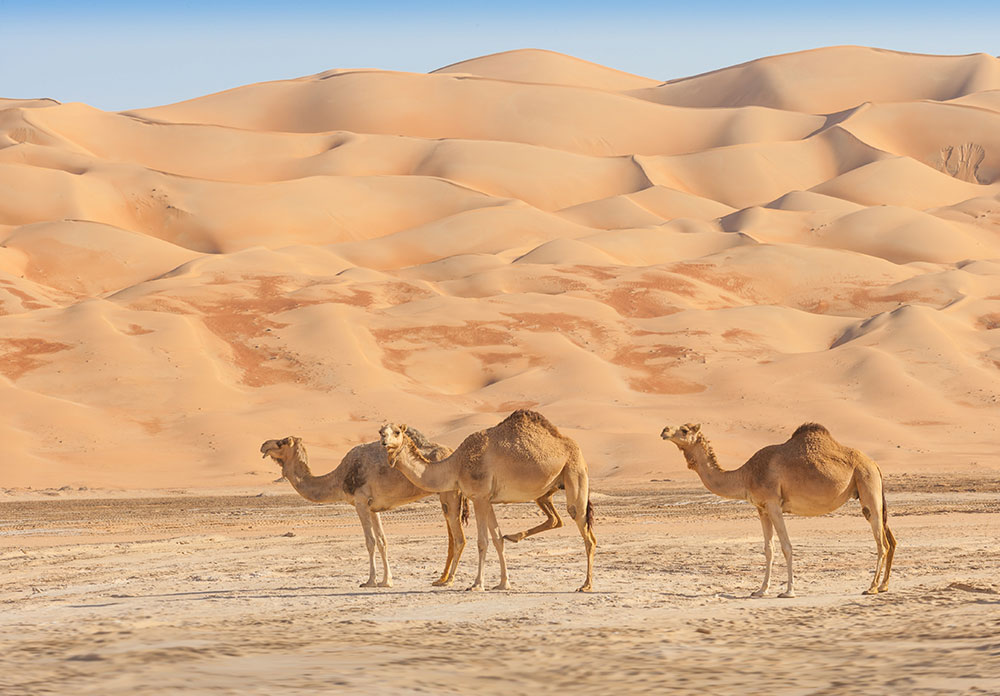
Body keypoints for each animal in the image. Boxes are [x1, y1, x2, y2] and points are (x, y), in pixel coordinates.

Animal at [262, 436, 472, 588]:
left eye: (281, 442)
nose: (263, 445)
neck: (339, 477)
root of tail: (453, 453)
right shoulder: (373, 507)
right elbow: (382, 541)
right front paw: (386, 581)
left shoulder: (360, 502)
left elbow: (370, 542)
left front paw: (370, 581)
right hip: (445, 496)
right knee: (452, 537)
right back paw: (441, 578)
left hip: (450, 493)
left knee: (459, 538)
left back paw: (449, 580)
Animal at [376, 410, 592, 596]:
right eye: (380, 431)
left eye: (396, 432)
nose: (384, 442)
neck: (456, 465)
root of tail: (577, 450)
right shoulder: (487, 499)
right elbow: (497, 539)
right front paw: (504, 583)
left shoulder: (479, 497)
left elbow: (482, 541)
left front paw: (477, 584)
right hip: (548, 490)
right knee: (558, 519)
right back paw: (515, 537)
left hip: (574, 473)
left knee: (585, 531)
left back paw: (586, 585)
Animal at [664, 422, 900, 596]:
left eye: (684, 430)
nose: (664, 431)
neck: (746, 474)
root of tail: (875, 464)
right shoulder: (761, 509)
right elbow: (769, 549)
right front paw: (760, 590)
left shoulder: (774, 504)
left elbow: (786, 546)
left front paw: (788, 591)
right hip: (870, 491)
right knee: (890, 539)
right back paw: (884, 585)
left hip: (867, 484)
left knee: (882, 542)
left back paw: (871, 587)